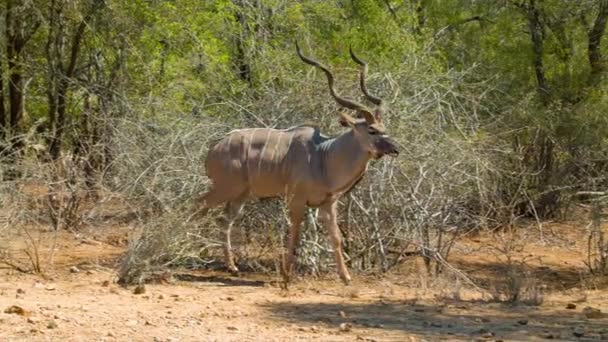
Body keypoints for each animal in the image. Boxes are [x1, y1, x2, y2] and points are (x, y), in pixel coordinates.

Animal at [197, 43, 402, 284]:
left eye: (384, 127)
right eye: (371, 130)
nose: (395, 148)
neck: (323, 156)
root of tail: (214, 149)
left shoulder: (328, 204)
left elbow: (336, 238)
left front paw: (346, 277)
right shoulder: (296, 200)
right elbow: (294, 235)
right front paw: (287, 277)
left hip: (240, 195)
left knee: (224, 220)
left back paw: (232, 267)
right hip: (226, 188)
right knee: (198, 205)